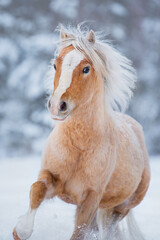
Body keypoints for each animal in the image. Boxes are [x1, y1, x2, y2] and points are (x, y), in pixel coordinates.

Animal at [13, 24, 151, 240]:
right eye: (55, 65)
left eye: (86, 69)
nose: (57, 106)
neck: (78, 149)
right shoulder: (53, 179)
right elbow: (36, 190)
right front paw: (21, 230)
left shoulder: (91, 199)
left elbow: (79, 233)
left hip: (120, 208)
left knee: (108, 230)